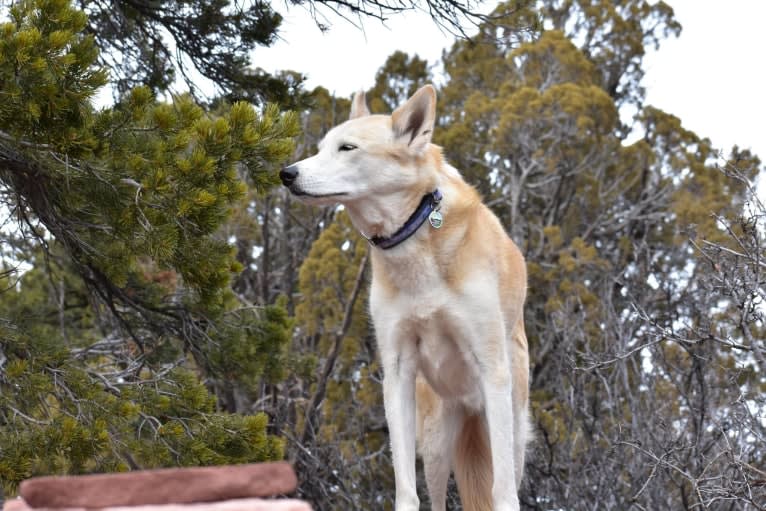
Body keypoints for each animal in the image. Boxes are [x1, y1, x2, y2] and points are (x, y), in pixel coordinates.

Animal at [284, 85, 536, 511]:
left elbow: (502, 493)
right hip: (435, 444)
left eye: (347, 148)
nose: (287, 174)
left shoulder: (491, 368)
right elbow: (405, 489)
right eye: (320, 149)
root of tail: (469, 405)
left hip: (510, 424)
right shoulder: (397, 370)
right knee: (436, 496)